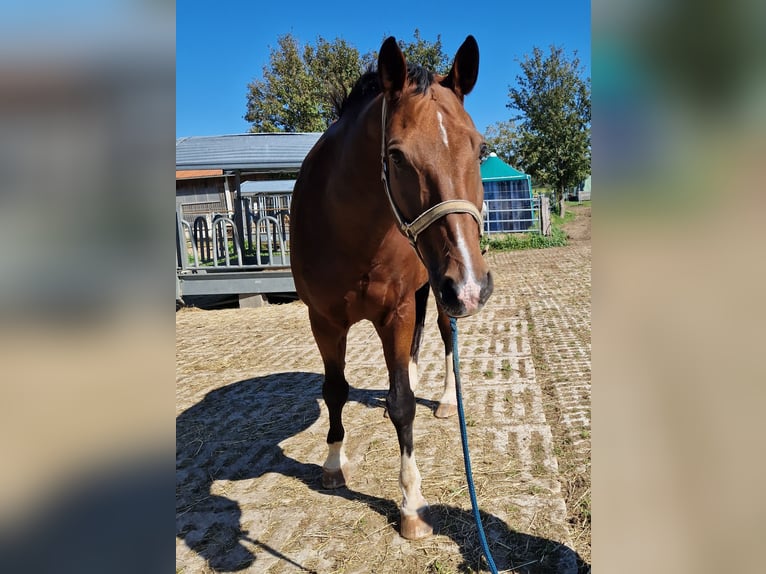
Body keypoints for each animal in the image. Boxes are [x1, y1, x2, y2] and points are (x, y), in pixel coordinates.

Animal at [292, 36, 496, 540]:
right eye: (397, 155)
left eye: (480, 149)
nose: (471, 283)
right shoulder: (324, 320)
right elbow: (335, 390)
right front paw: (332, 462)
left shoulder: (397, 312)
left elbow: (404, 403)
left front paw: (412, 503)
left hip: (440, 296)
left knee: (441, 336)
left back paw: (443, 400)